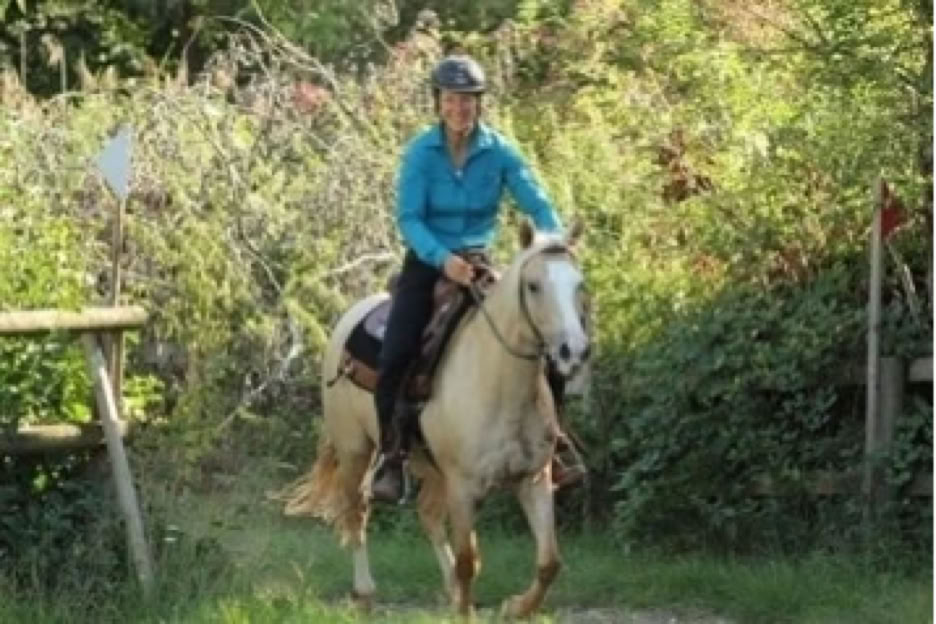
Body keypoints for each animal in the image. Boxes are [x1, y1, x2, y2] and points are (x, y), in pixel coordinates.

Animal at [282, 218, 591, 617]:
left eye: (579, 284)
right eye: (533, 285)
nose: (573, 351)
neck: (497, 381)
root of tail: (348, 320)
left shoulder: (533, 479)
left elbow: (549, 561)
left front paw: (517, 607)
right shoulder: (463, 486)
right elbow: (468, 561)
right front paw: (468, 611)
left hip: (429, 465)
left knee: (427, 516)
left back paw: (448, 589)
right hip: (355, 450)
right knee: (357, 513)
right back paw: (365, 592)